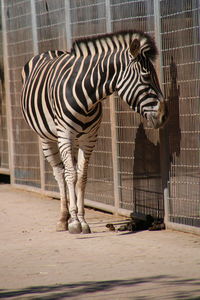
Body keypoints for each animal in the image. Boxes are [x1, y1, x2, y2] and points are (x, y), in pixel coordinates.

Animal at [20, 31, 167, 234]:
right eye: (146, 77)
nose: (164, 115)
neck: (87, 98)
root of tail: (49, 51)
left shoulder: (89, 139)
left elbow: (81, 177)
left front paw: (82, 220)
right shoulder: (64, 136)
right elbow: (70, 175)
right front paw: (75, 222)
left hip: (74, 141)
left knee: (69, 171)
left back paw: (68, 215)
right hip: (47, 138)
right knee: (60, 173)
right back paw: (63, 218)